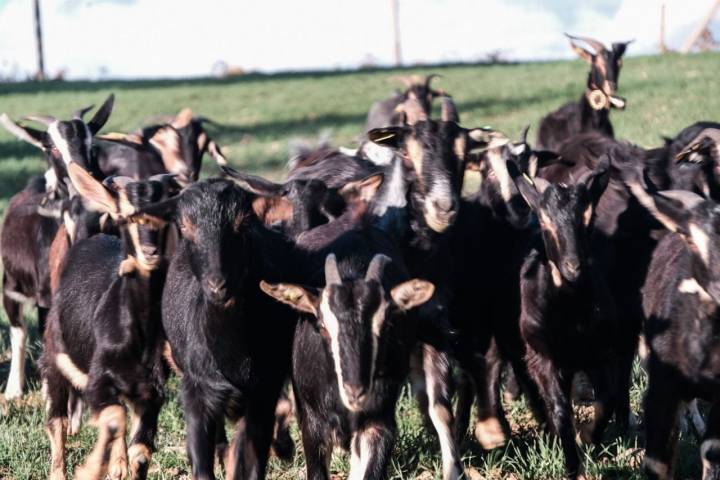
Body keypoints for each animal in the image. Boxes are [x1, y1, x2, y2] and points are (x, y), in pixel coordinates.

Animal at [40, 162, 179, 480]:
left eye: (165, 216)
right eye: (127, 216)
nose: (150, 253)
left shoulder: (151, 391)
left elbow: (141, 451)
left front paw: (122, 465)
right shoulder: (98, 381)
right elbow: (114, 418)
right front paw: (92, 468)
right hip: (55, 356)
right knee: (57, 421)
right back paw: (61, 470)